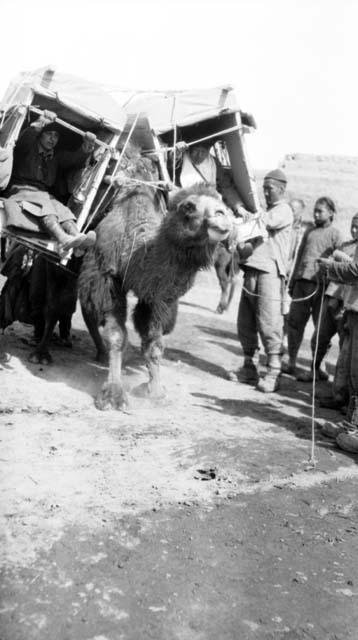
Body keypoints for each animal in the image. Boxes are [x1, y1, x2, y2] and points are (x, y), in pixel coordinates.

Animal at [78, 146, 234, 410]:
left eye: (220, 202)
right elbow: (117, 335)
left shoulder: (158, 297)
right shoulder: (105, 275)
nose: (224, 217)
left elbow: (154, 344)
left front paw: (155, 391)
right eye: (189, 206)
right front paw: (113, 395)